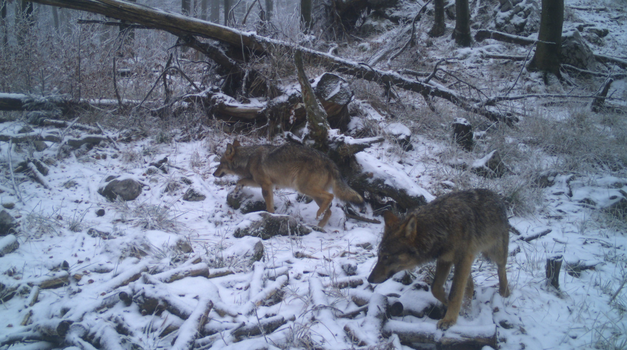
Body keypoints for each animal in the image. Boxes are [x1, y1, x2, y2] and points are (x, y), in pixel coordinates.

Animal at [215, 141, 366, 228]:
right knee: (328, 211)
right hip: (312, 194)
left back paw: (318, 217)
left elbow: (269, 206)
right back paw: (319, 226)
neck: (248, 158)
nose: (213, 173)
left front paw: (271, 216)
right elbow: (239, 181)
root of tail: (330, 161)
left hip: (304, 188)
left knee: (330, 196)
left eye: (220, 163)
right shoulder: (262, 182)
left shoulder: (265, 185)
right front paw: (236, 192)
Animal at [368, 190, 510, 330]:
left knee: (501, 270)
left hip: (494, 253)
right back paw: (466, 308)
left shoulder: (462, 259)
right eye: (379, 255)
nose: (369, 279)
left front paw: (449, 320)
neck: (442, 226)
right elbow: (435, 287)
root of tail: (497, 196)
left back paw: (504, 293)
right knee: (470, 285)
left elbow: (454, 293)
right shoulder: (445, 260)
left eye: (386, 257)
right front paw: (447, 301)